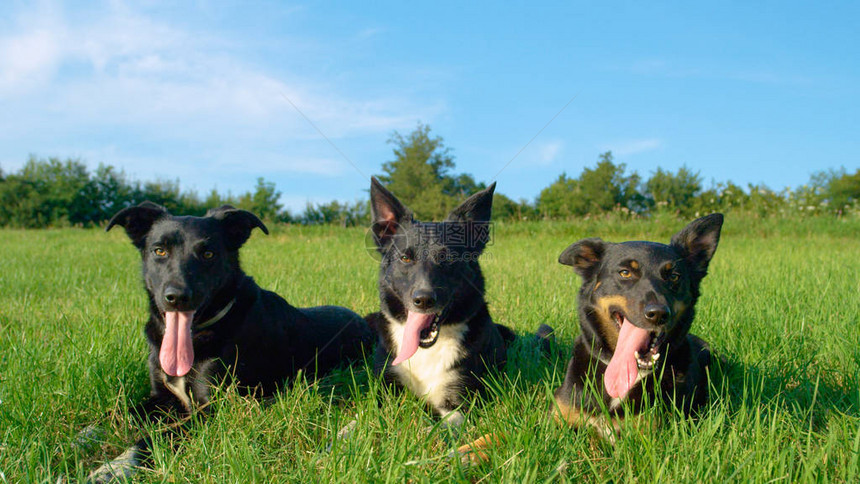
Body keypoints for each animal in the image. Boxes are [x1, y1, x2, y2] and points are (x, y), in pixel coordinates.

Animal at [364, 178, 512, 428]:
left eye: (447, 258)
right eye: (405, 258)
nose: (423, 300)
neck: (424, 350)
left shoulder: (458, 403)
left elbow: (439, 430)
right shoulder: (384, 390)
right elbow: (363, 419)